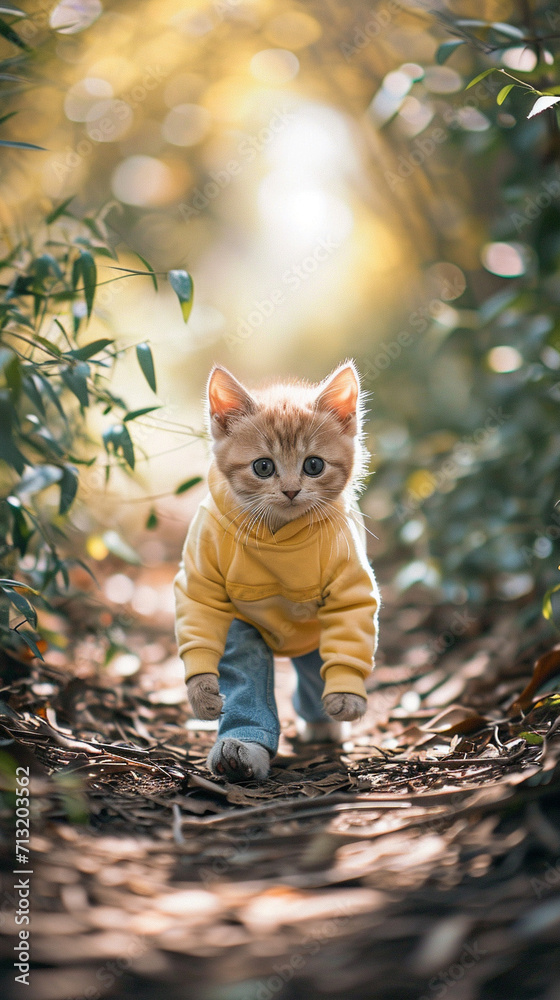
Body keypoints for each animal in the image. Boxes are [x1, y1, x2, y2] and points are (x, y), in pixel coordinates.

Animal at [173, 364, 378, 784]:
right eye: (263, 467)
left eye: (313, 465)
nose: (291, 491)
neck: (279, 531)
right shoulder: (203, 564)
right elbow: (202, 613)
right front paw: (201, 691)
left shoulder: (350, 578)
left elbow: (352, 615)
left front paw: (347, 696)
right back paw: (239, 752)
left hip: (315, 643)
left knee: (316, 673)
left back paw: (324, 723)